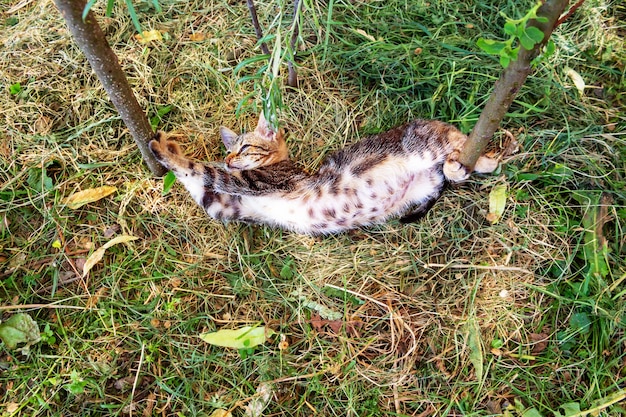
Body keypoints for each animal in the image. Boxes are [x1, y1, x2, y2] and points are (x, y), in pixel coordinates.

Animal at [149, 112, 494, 234]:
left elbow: (201, 169)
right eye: (229, 151)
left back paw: (486, 158)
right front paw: (170, 144)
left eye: (245, 147)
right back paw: (457, 168)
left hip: (426, 144)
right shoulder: (225, 206)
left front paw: (161, 148)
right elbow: (200, 183)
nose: (231, 159)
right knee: (448, 173)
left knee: (458, 137)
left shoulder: (255, 182)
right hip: (426, 184)